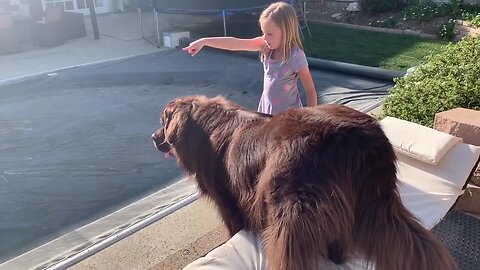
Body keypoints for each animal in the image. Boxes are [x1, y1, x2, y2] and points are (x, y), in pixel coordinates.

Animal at [152, 95, 456, 270]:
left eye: (162, 119)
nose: (153, 138)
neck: (206, 126)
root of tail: (359, 139)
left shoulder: (227, 200)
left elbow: (234, 225)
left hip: (290, 206)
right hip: (377, 201)